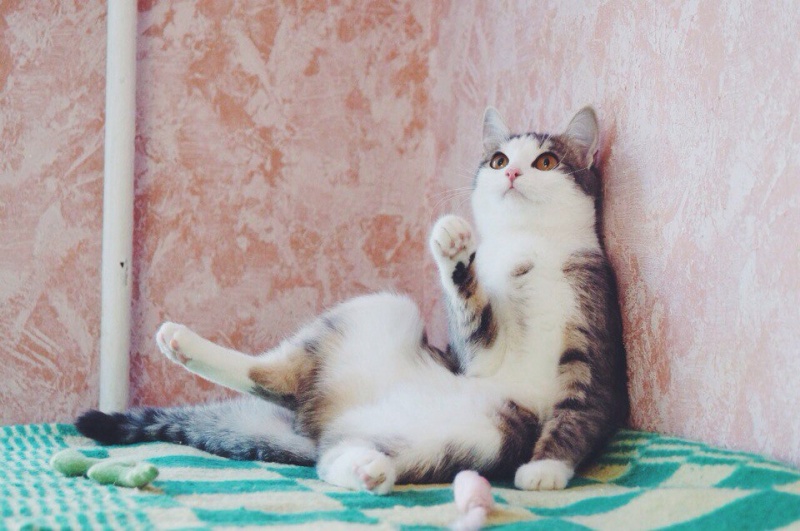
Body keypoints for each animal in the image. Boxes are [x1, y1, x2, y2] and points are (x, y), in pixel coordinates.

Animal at [76, 107, 628, 494]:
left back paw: (369, 469)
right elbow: (475, 320)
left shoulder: (594, 331)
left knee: (328, 456)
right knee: (270, 376)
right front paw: (454, 249)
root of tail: (317, 421)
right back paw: (182, 342)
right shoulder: (474, 357)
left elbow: (580, 407)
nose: (512, 174)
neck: (525, 247)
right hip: (383, 310)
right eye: (498, 160)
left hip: (471, 437)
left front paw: (546, 468)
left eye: (546, 161)